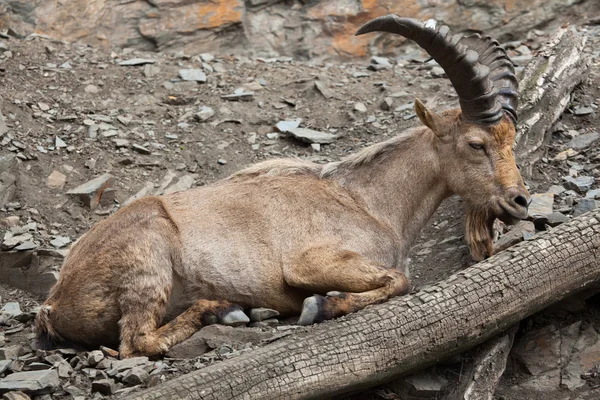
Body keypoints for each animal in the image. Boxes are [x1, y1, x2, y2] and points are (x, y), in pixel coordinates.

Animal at [35, 16, 528, 360]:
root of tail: (53, 305)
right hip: (148, 258)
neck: (371, 202)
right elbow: (400, 280)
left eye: (511, 139)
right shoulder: (308, 263)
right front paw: (319, 306)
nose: (520, 200)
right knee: (136, 342)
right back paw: (225, 310)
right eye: (476, 143)